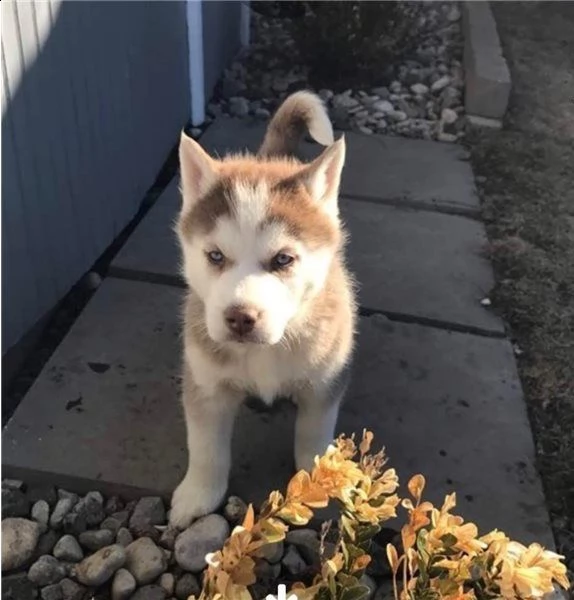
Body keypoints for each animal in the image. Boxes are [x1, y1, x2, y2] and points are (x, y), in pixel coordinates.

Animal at [171, 91, 358, 528]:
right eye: (215, 256)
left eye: (283, 259)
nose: (240, 317)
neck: (264, 352)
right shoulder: (205, 382)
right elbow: (205, 446)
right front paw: (197, 495)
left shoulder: (325, 383)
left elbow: (313, 437)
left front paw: (319, 483)